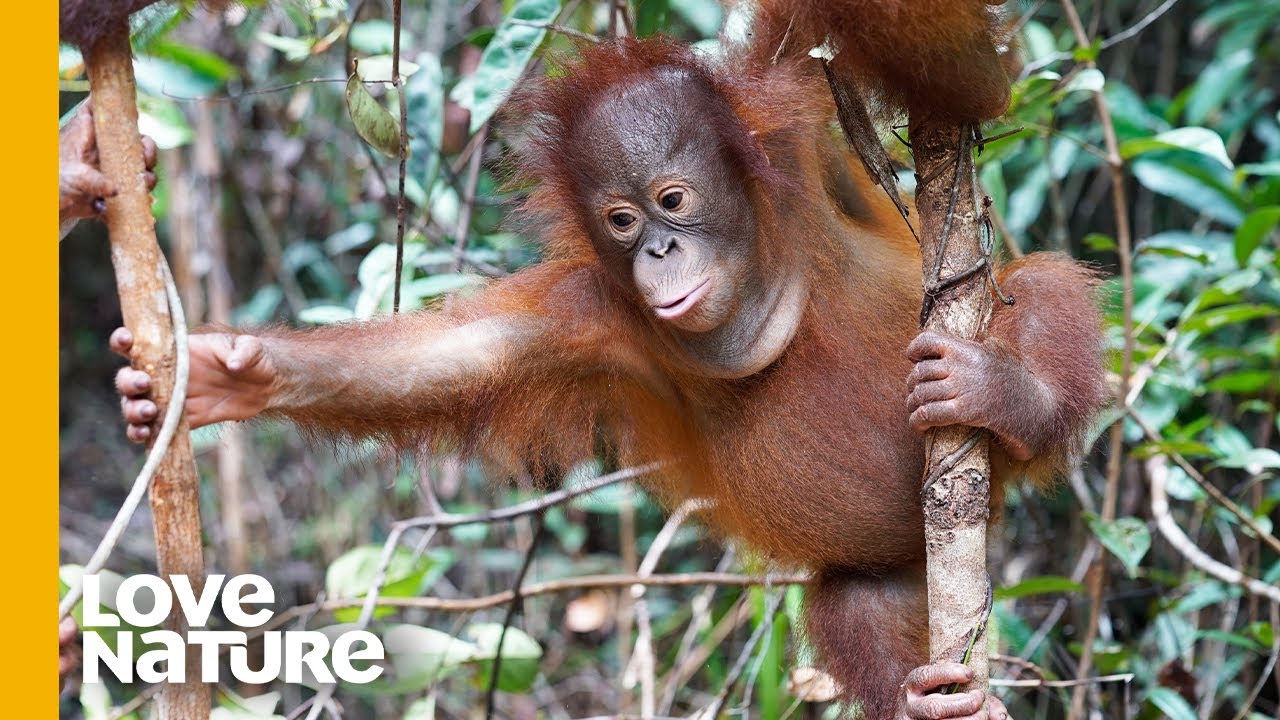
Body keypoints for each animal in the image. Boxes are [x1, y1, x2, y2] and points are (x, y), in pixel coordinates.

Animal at [111, 36, 1105, 719]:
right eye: (621, 221)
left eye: (672, 201)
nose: (659, 251)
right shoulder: (588, 320)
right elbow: (451, 358)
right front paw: (222, 378)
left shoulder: (792, 127)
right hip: (897, 568)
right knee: (855, 606)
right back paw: (930, 699)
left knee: (1041, 286)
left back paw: (1005, 396)